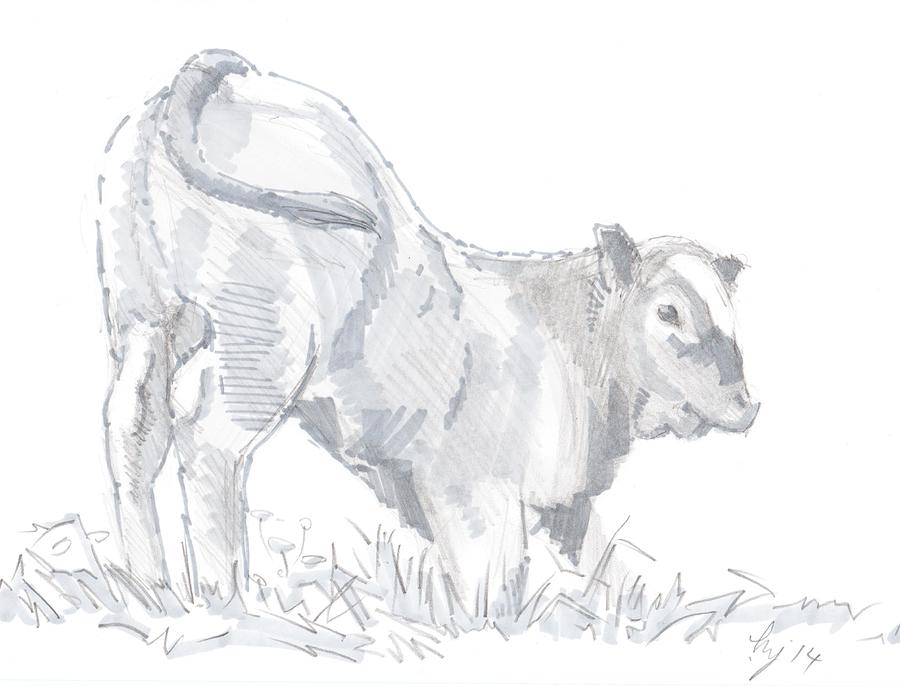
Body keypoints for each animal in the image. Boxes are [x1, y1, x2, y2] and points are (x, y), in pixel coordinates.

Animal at [96, 49, 758, 617]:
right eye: (668, 312)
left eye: (730, 311)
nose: (746, 406)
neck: (569, 343)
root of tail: (231, 77)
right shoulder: (473, 490)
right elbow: (491, 584)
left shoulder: (563, 499)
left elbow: (607, 569)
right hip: (263, 342)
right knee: (208, 442)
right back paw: (225, 597)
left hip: (144, 317)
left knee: (135, 430)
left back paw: (149, 589)